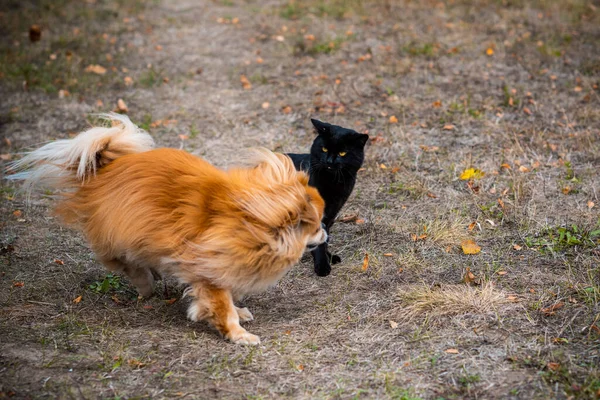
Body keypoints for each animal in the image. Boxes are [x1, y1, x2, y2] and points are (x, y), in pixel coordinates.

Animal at [288, 118, 368, 276]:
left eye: (342, 153)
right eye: (324, 149)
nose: (329, 161)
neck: (333, 182)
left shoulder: (331, 214)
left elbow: (325, 239)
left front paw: (329, 257)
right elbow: (319, 241)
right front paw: (322, 266)